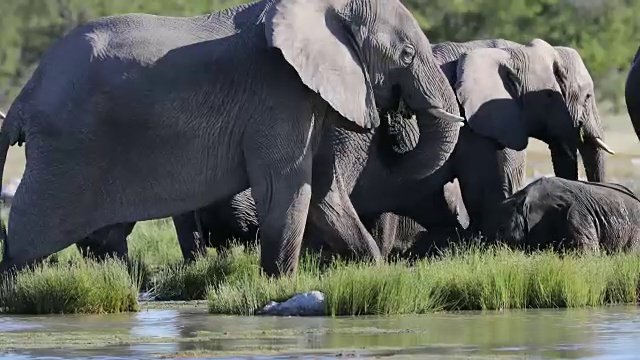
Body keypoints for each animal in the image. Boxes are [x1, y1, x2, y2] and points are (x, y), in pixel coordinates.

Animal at [0, 0, 464, 278]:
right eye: (406, 55)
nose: (393, 123)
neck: (326, 8)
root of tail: (25, 93)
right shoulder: (278, 92)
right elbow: (287, 190)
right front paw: (279, 286)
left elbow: (324, 193)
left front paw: (375, 272)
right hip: (66, 151)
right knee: (28, 233)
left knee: (102, 238)